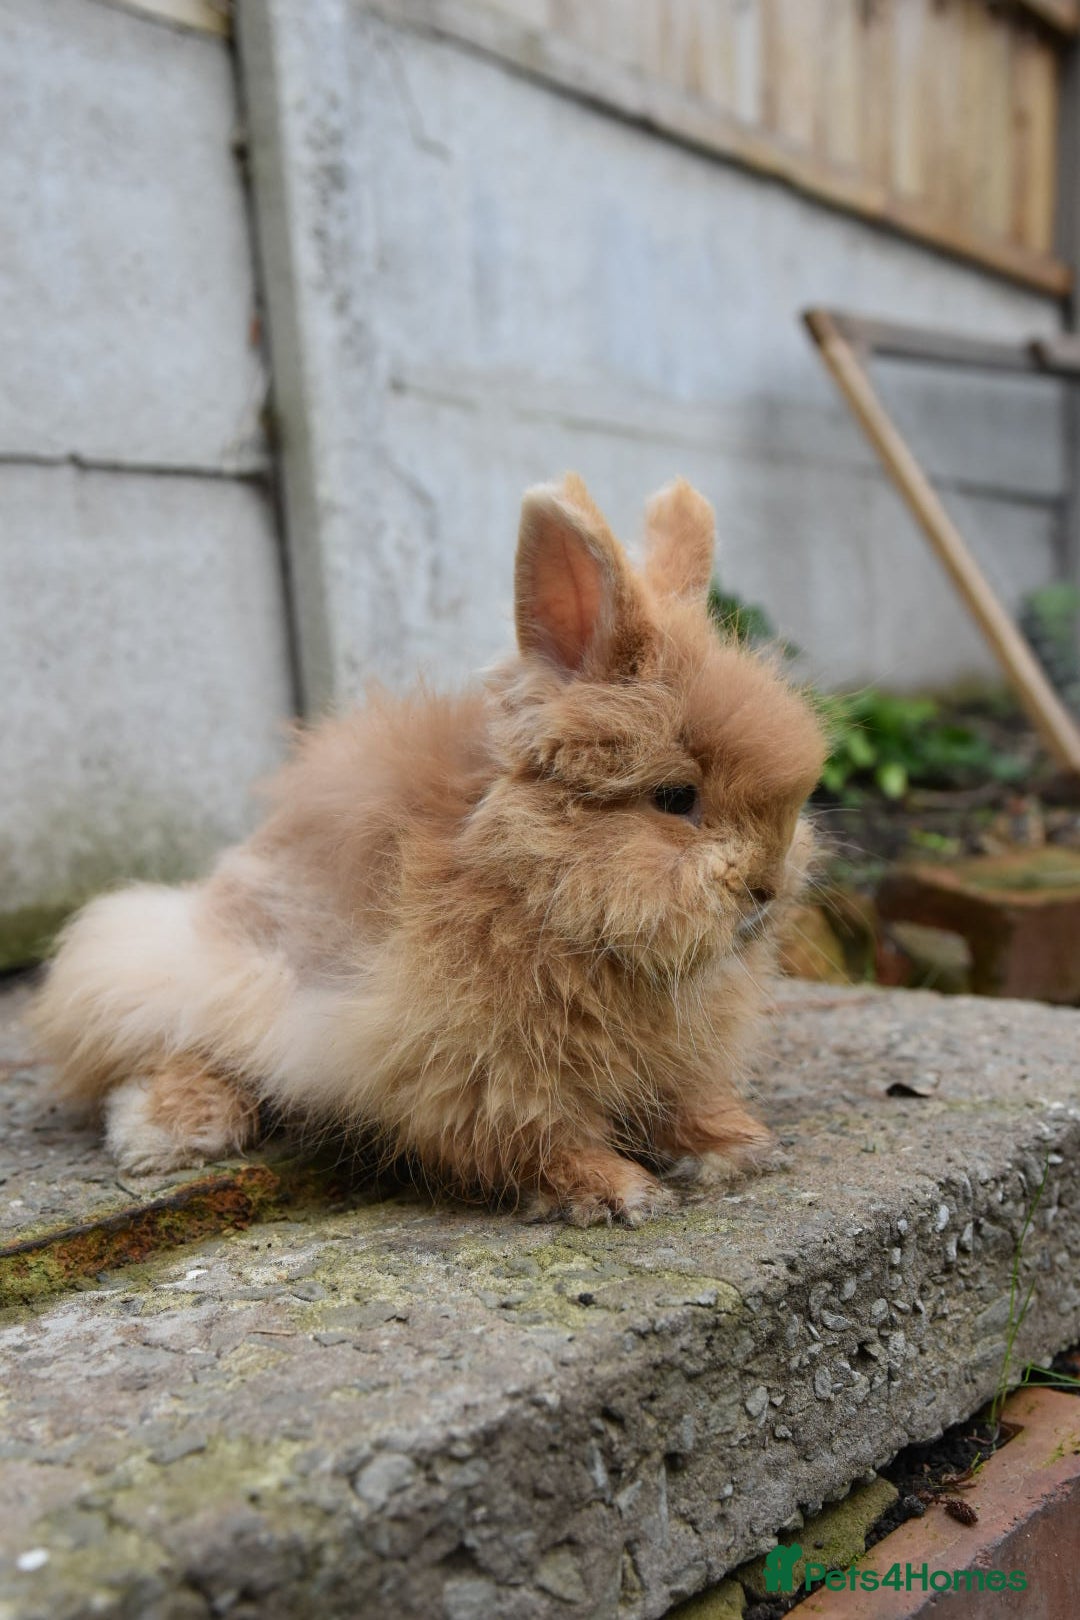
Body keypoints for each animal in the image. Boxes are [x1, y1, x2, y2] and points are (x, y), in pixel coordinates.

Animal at [32, 474, 826, 1225]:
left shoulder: (670, 1058)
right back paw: (163, 1133)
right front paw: (617, 1193)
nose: (767, 889)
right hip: (203, 972)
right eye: (675, 798)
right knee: (171, 1044)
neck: (539, 884)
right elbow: (536, 1139)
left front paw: (739, 1147)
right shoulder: (472, 1070)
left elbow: (682, 1099)